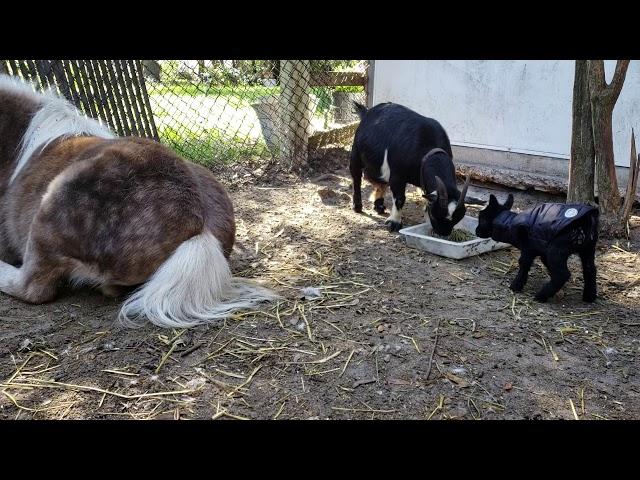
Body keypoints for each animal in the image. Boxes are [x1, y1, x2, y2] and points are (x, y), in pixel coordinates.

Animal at [348, 102, 468, 235]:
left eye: (457, 220)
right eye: (436, 215)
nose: (443, 234)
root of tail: (367, 112)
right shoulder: (397, 176)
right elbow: (400, 198)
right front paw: (394, 223)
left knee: (380, 182)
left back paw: (379, 206)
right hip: (356, 153)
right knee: (356, 177)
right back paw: (357, 206)